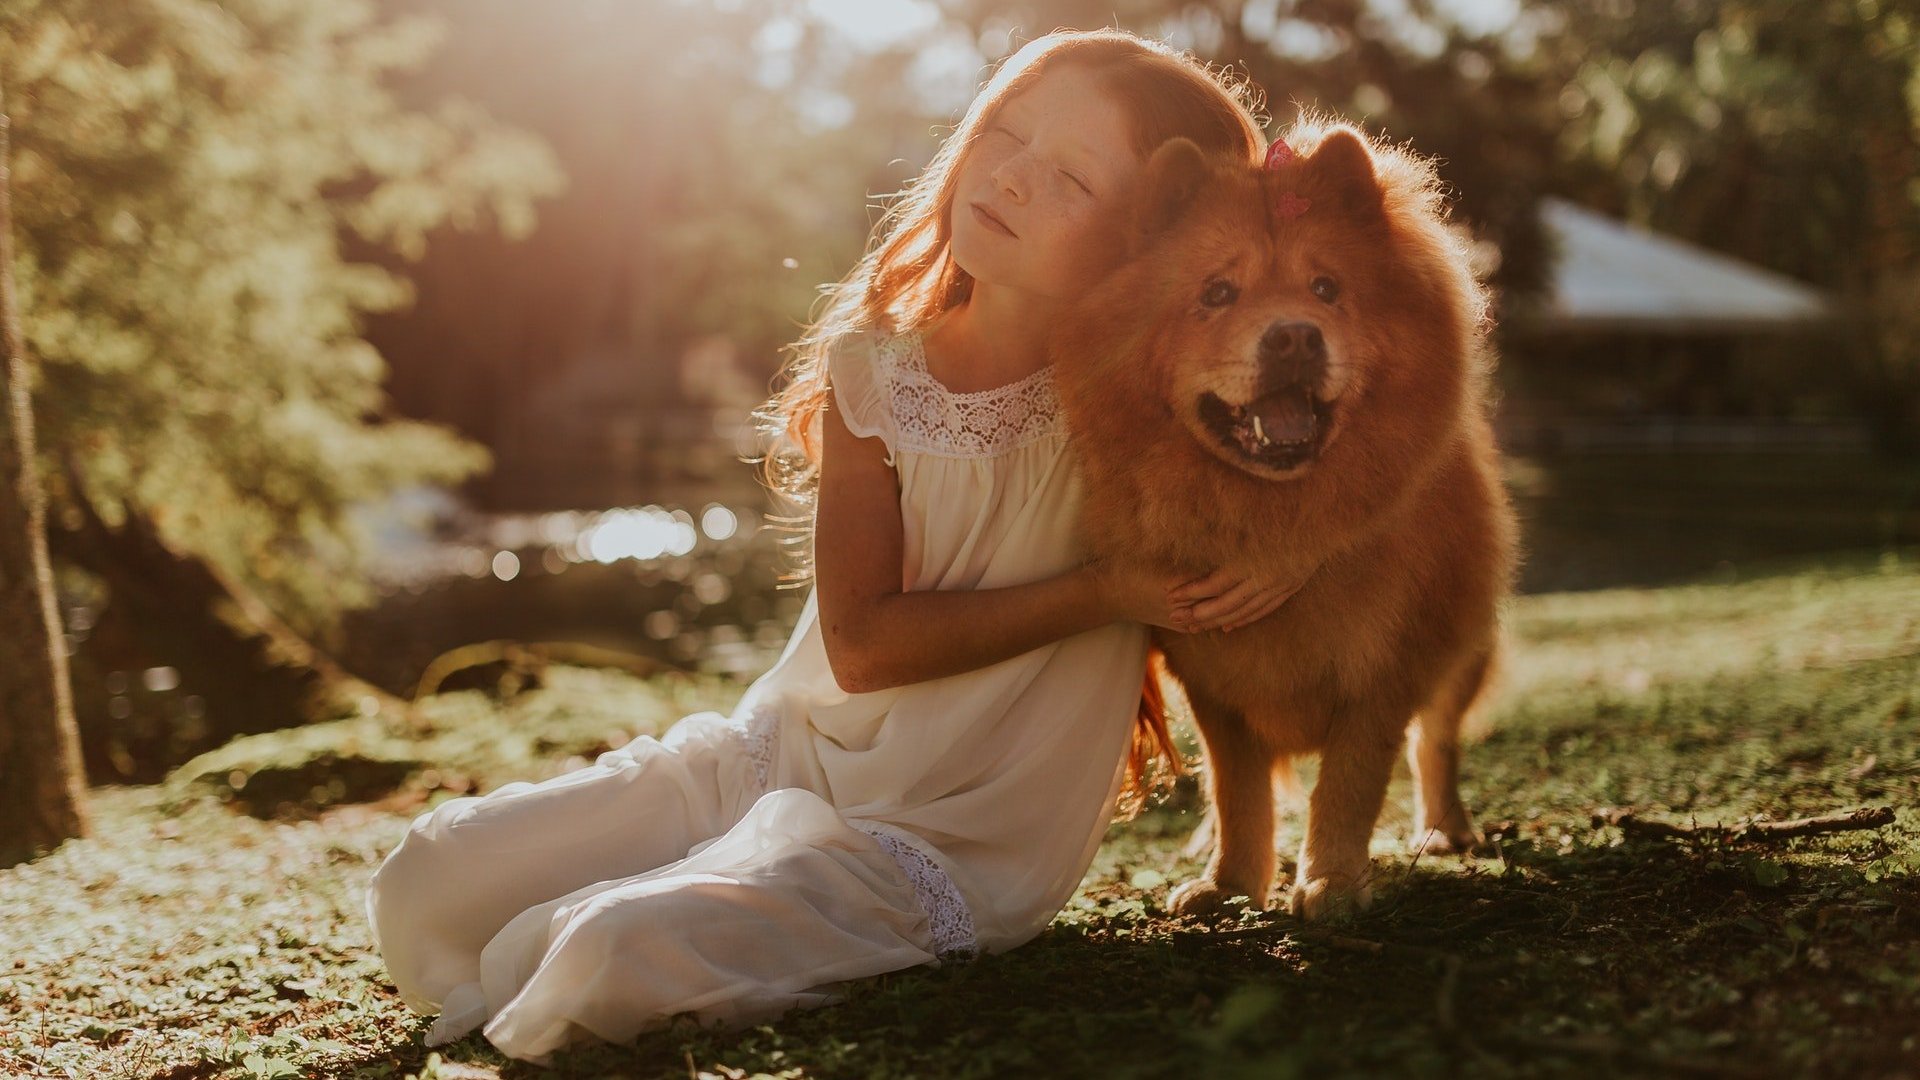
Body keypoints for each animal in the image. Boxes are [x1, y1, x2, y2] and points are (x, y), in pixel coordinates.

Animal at [1052, 119, 1512, 914]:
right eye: (1217, 293)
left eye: (1326, 288)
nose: (1294, 335)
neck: (1270, 514)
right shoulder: (1211, 682)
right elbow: (1238, 789)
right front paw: (1230, 882)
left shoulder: (1386, 670)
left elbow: (1350, 785)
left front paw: (1330, 882)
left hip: (1464, 644)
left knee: (1437, 741)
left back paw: (1445, 831)